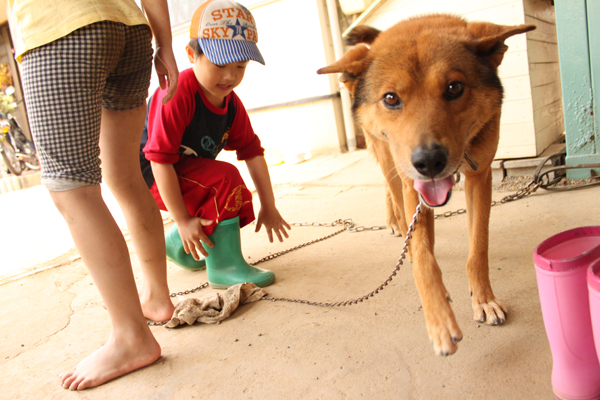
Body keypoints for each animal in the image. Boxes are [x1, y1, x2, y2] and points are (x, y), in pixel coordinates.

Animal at [316, 14, 536, 354]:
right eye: (391, 98)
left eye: (455, 87)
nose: (429, 162)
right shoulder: (411, 184)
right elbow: (422, 254)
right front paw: (439, 318)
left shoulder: (480, 177)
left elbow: (478, 248)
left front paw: (484, 299)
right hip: (388, 158)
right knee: (392, 189)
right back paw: (397, 224)